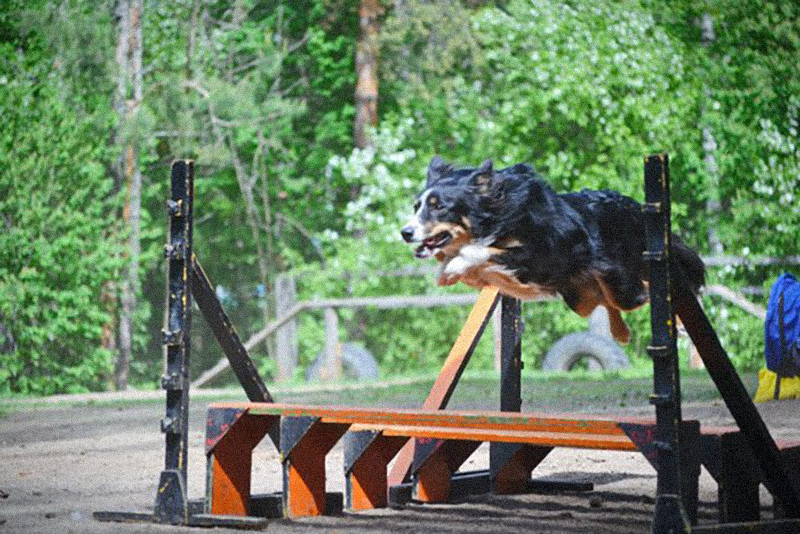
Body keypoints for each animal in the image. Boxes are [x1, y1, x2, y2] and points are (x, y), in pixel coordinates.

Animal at [404, 157, 704, 346]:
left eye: (439, 207)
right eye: (416, 206)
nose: (405, 232)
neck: (497, 214)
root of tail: (635, 208)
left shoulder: (541, 254)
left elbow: (484, 250)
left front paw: (456, 263)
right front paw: (447, 269)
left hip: (623, 283)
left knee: (648, 290)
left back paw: (676, 322)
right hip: (581, 299)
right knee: (608, 301)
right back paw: (621, 333)